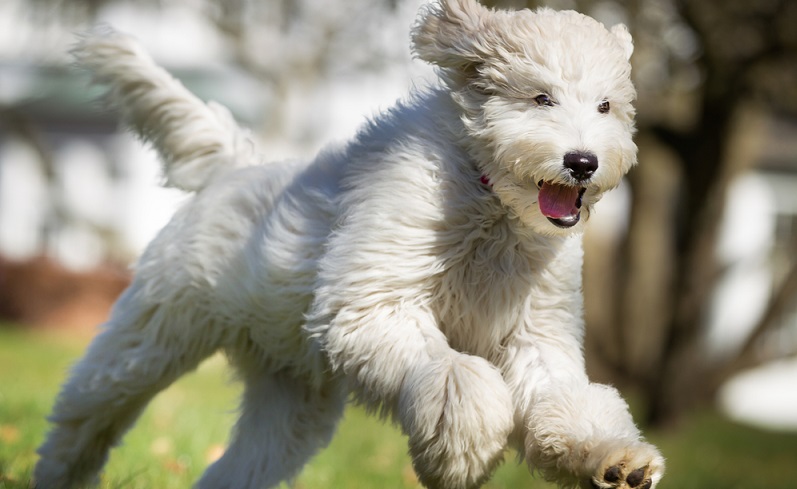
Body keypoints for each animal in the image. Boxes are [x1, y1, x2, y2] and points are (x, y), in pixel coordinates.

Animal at [34, 0, 664, 488]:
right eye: (541, 99)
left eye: (606, 106)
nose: (583, 163)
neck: (490, 204)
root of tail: (235, 167)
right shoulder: (375, 304)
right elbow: (455, 374)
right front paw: (462, 453)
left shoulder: (538, 338)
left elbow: (570, 405)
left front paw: (616, 460)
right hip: (150, 338)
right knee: (83, 419)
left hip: (290, 403)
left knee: (240, 464)